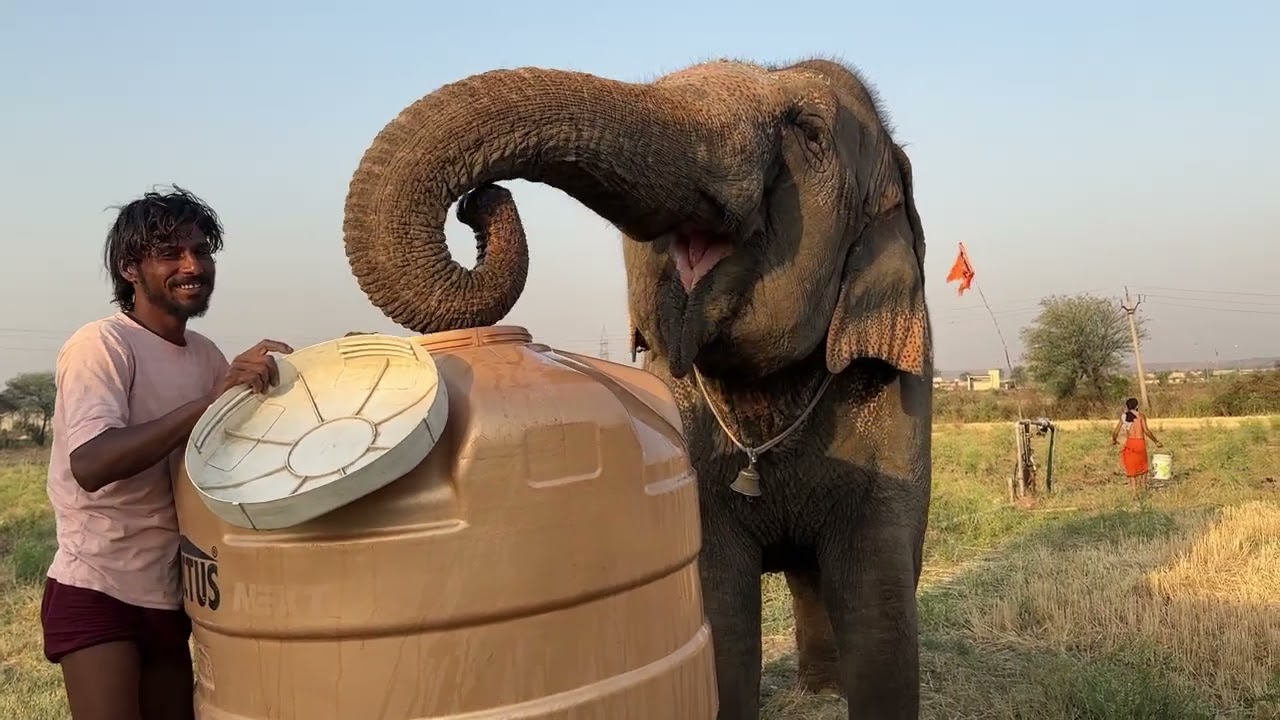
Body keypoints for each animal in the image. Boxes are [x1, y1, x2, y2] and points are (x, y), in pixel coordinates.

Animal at [341, 57, 933, 719]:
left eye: (809, 131)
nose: (479, 200)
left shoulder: (898, 414)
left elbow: (879, 612)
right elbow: (720, 613)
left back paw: (824, 690)